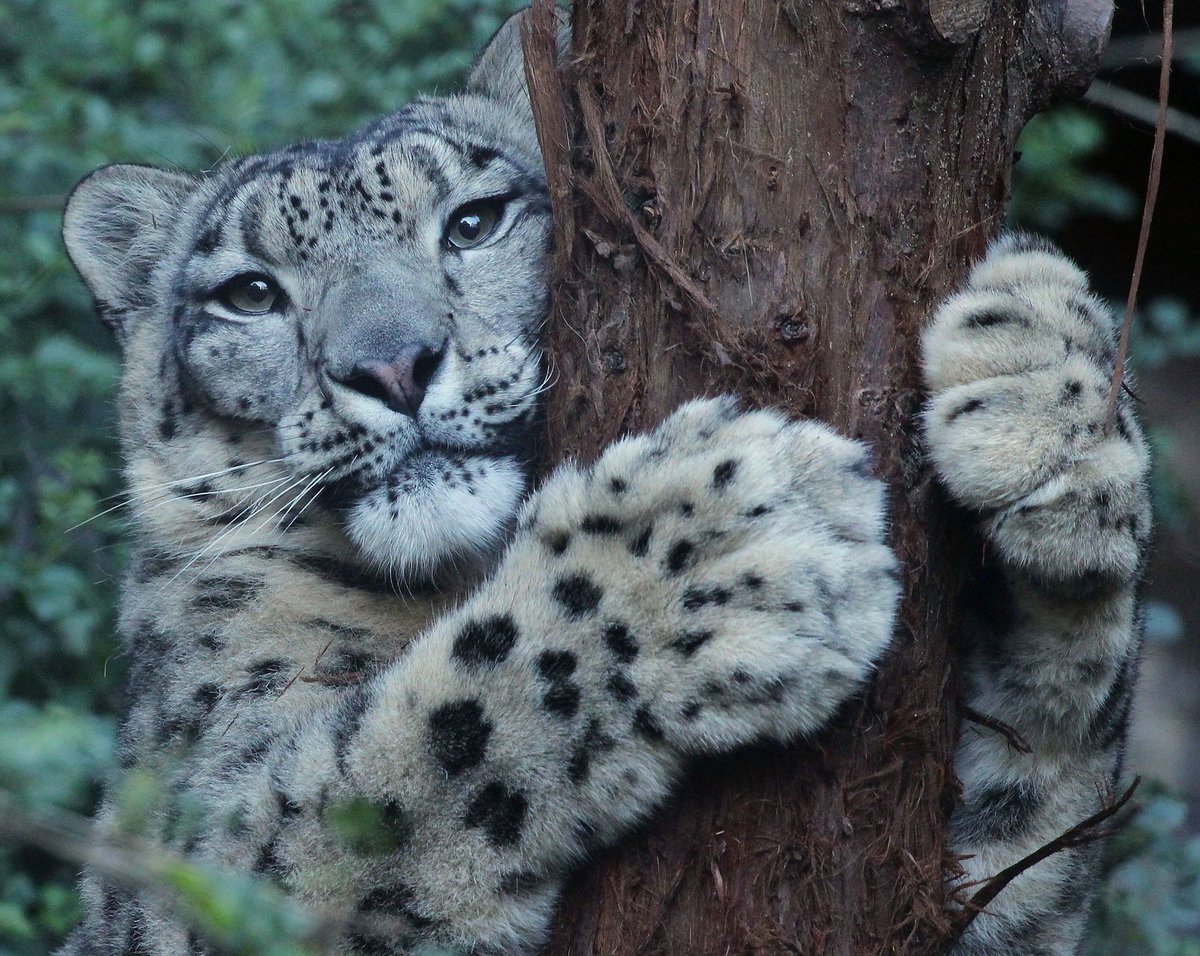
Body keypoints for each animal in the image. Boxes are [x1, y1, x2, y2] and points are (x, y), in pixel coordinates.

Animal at [60, 7, 1147, 954]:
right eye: (250, 293)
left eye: (474, 221)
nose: (392, 365)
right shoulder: (176, 854)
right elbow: (412, 748)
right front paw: (711, 545)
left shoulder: (1002, 890)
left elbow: (1051, 780)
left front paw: (1040, 384)